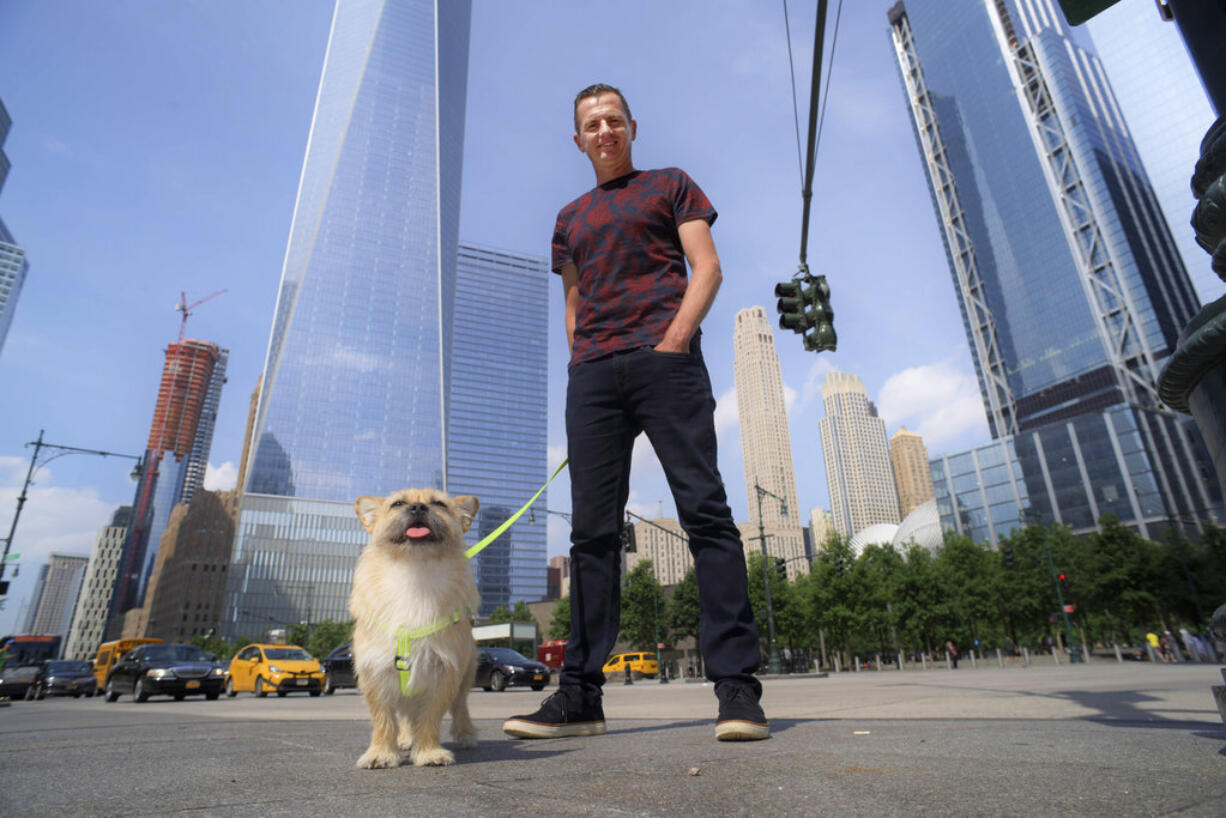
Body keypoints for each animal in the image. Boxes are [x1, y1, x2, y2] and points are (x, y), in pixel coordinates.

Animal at [350, 490, 478, 770]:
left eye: (439, 504)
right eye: (397, 504)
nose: (418, 507)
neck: (414, 574)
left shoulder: (444, 672)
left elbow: (430, 717)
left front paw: (429, 752)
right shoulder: (375, 673)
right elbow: (384, 719)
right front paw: (381, 753)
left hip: (465, 677)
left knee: (460, 706)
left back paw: (466, 734)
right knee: (408, 716)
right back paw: (406, 739)